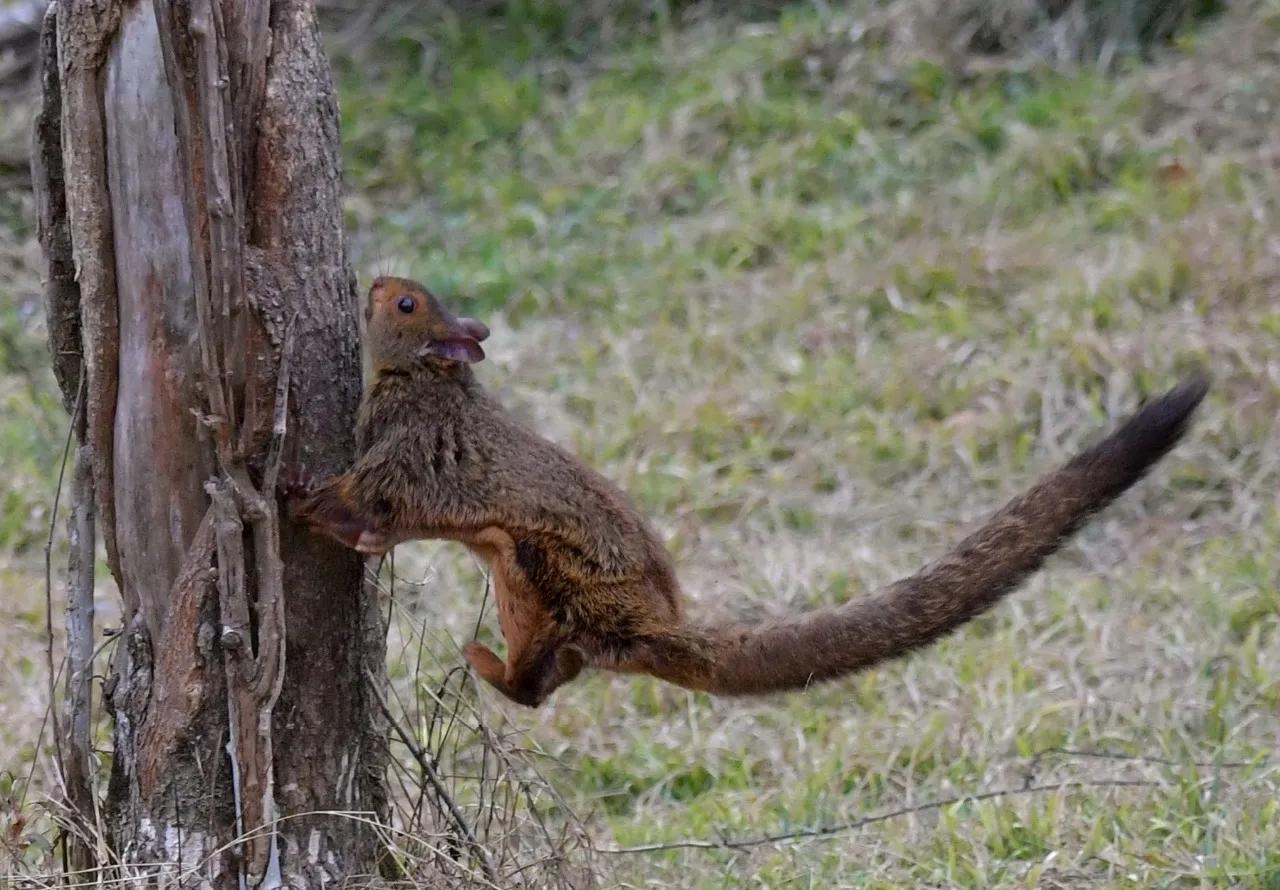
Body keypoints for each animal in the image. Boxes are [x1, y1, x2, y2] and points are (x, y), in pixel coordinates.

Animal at [290, 279, 1208, 712]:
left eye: (404, 301)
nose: (371, 280)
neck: (428, 384)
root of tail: (653, 627)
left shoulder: (407, 462)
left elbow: (359, 502)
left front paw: (289, 497)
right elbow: (372, 523)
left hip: (539, 578)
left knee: (534, 686)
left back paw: (477, 659)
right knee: (546, 686)